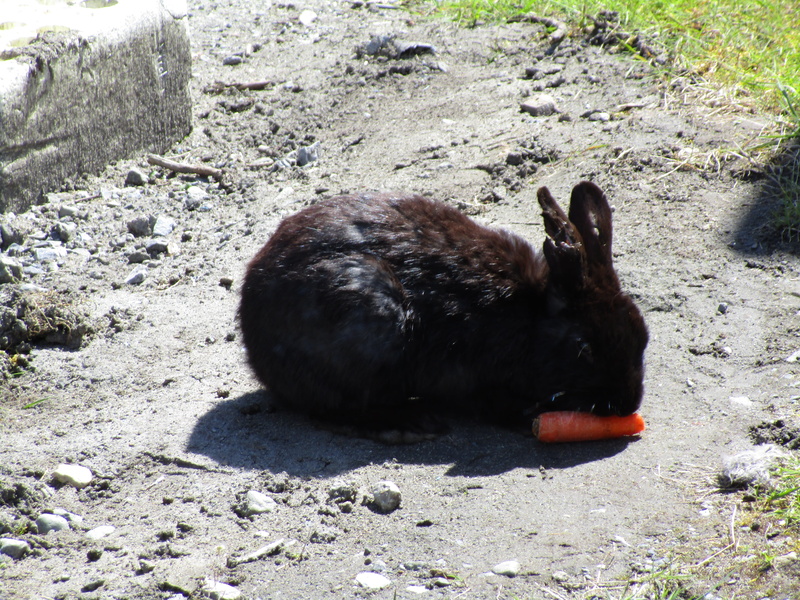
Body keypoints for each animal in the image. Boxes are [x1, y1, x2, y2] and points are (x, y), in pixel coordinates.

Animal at [239, 181, 649, 440]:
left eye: (644, 337)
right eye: (585, 349)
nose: (628, 403)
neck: (529, 317)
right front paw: (529, 415)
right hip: (368, 312)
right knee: (331, 407)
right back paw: (409, 425)